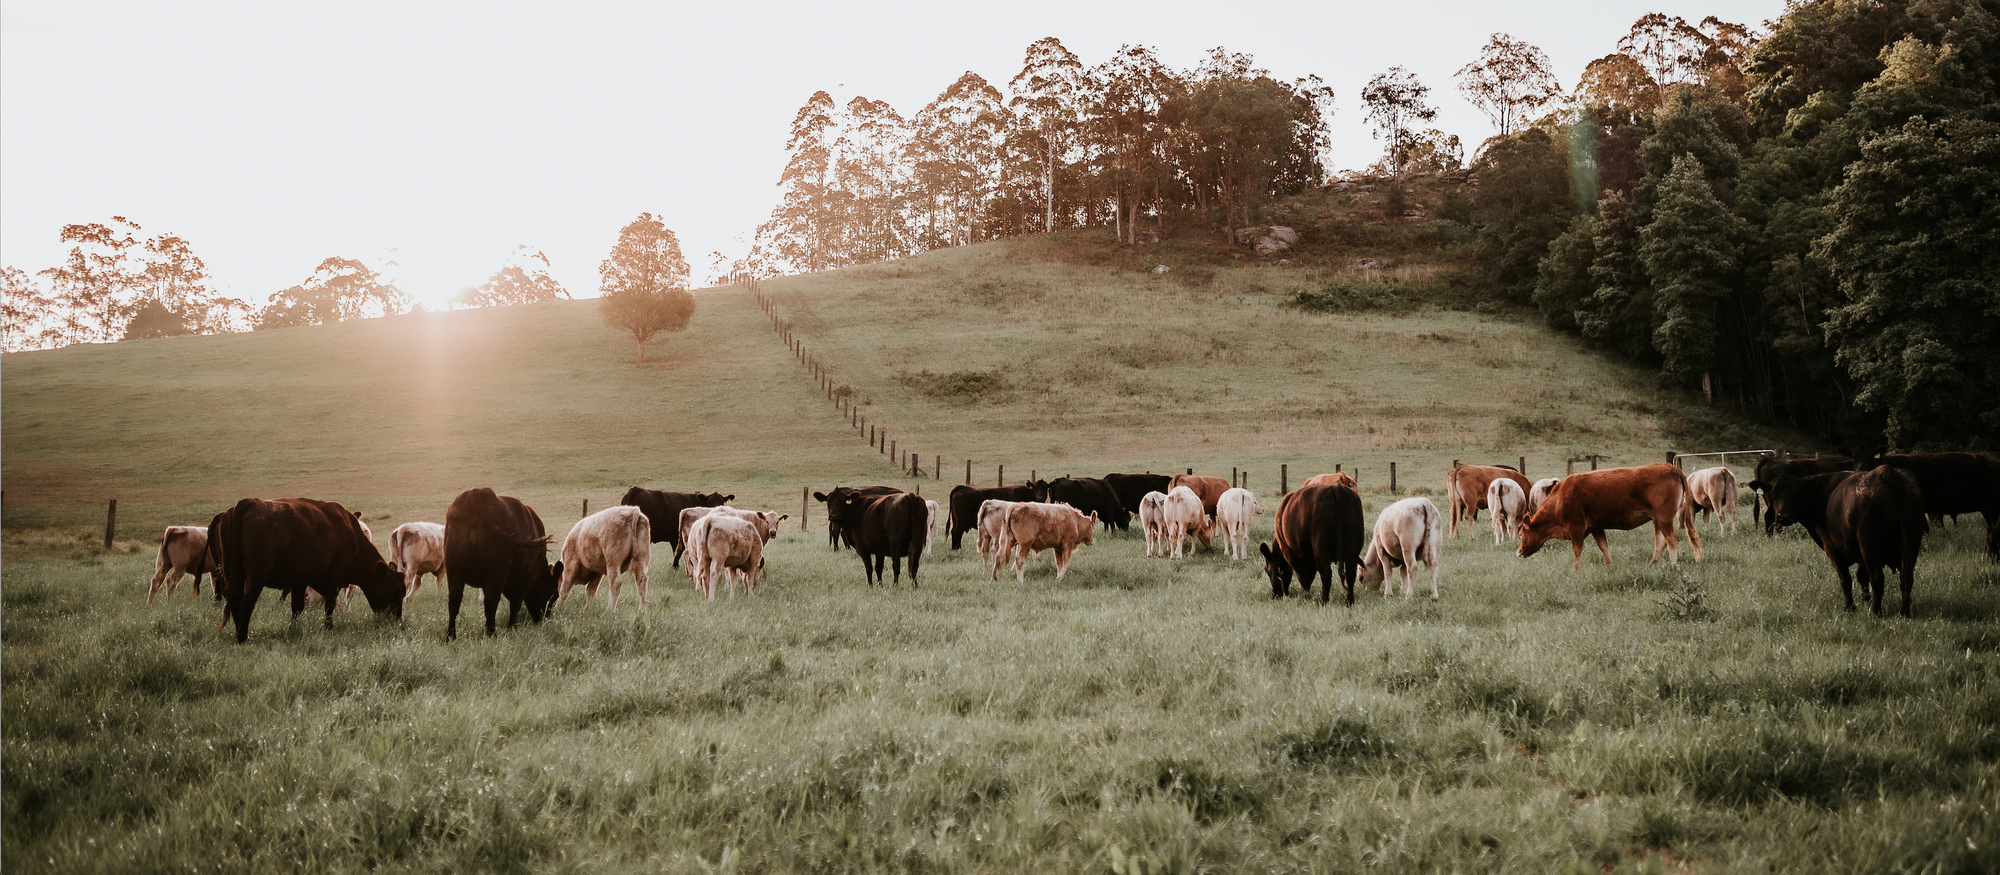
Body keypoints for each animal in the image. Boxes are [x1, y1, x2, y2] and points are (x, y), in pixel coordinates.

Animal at [210, 499, 402, 643]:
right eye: (393, 592)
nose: (397, 620)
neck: (352, 535)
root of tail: (248, 503)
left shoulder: (299, 581)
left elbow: (297, 607)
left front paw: (293, 629)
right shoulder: (334, 578)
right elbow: (329, 605)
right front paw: (329, 628)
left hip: (233, 574)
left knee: (235, 602)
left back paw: (239, 634)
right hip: (256, 577)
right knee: (246, 603)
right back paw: (243, 637)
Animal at [442, 489, 560, 639]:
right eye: (554, 595)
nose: (545, 619)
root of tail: (477, 493)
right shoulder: (526, 579)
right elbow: (515, 604)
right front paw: (512, 629)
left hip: (454, 570)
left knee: (454, 600)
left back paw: (450, 636)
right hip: (496, 571)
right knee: (491, 600)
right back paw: (492, 634)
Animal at [1512, 465, 1704, 575]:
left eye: (1521, 534)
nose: (1518, 552)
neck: (1560, 498)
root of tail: (1669, 467)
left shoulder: (1576, 527)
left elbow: (1577, 550)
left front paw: (1575, 570)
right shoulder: (1596, 526)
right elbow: (1603, 546)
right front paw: (1609, 566)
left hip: (1664, 517)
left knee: (1671, 539)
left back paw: (1672, 565)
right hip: (1658, 519)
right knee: (1660, 541)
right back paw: (1652, 564)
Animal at [1776, 467, 1928, 619]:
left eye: (1795, 494)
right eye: (1774, 493)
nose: (1784, 516)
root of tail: (1884, 470)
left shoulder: (1831, 549)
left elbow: (1846, 580)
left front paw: (1850, 607)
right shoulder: (1860, 554)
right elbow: (1861, 576)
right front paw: (1865, 601)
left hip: (1869, 547)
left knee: (1877, 578)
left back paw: (1875, 612)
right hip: (1910, 545)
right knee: (1906, 578)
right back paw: (1903, 613)